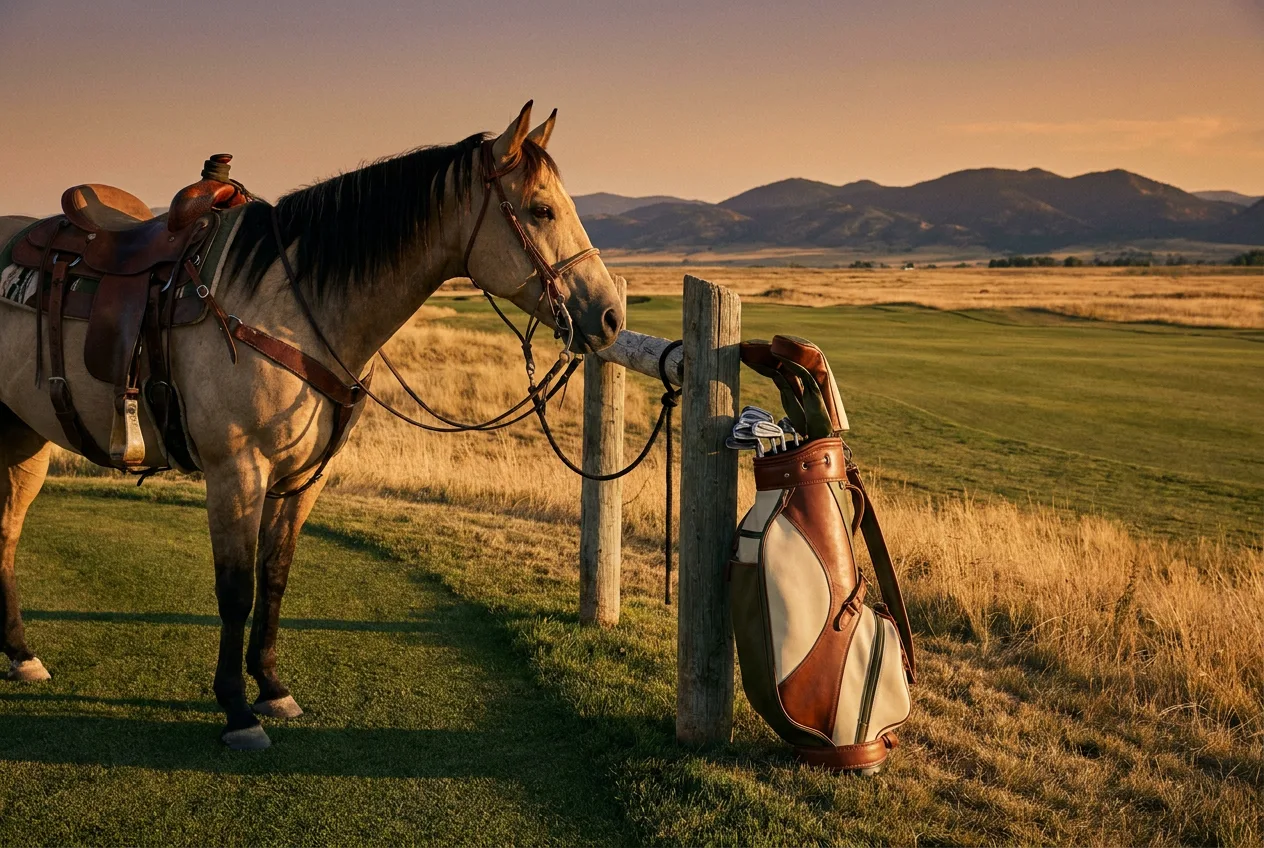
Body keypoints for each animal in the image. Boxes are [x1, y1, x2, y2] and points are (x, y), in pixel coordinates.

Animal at [0, 102, 623, 750]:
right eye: (541, 209)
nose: (610, 316)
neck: (294, 309)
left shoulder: (303, 478)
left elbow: (274, 578)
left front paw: (272, 689)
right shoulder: (237, 472)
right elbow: (236, 591)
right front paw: (237, 710)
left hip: (25, 438)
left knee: (6, 536)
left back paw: (21, 655)